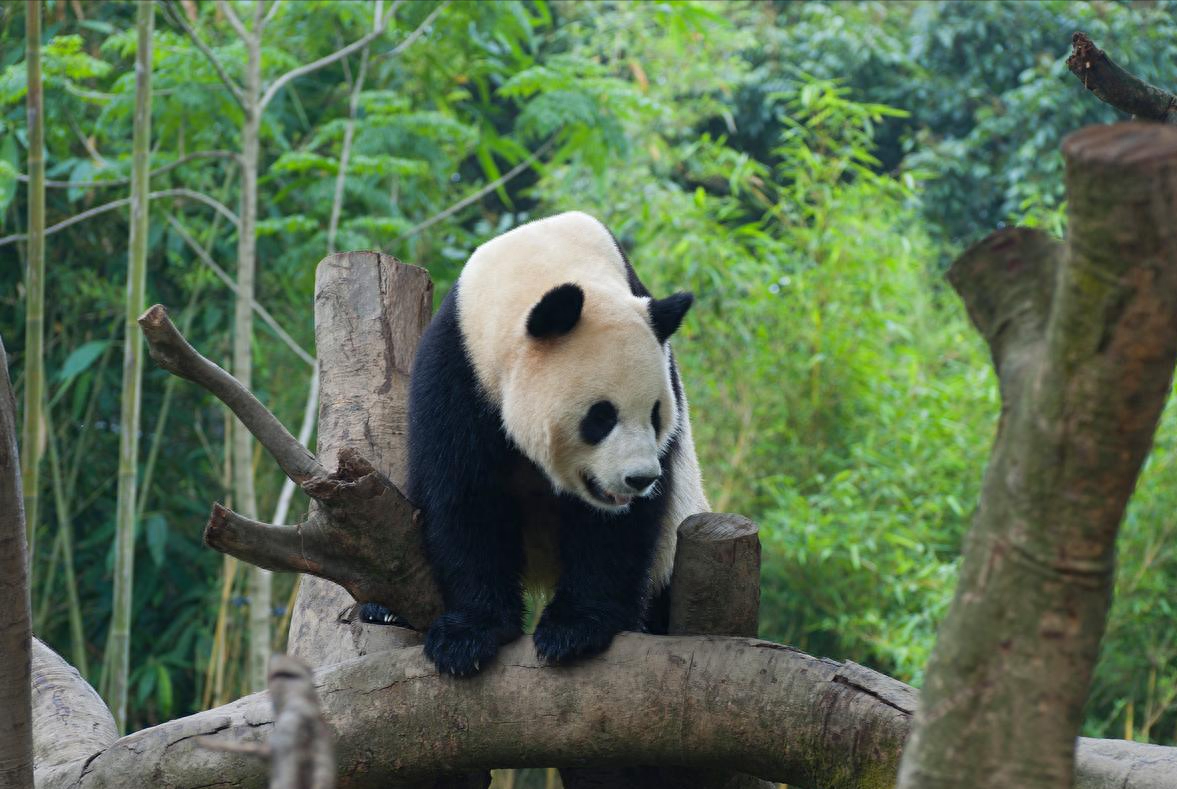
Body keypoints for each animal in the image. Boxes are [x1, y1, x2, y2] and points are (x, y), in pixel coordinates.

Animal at [362, 211, 706, 678]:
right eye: (601, 417)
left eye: (655, 415)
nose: (639, 478)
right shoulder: (457, 367)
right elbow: (463, 494)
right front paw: (467, 637)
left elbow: (616, 530)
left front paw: (573, 630)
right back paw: (383, 610)